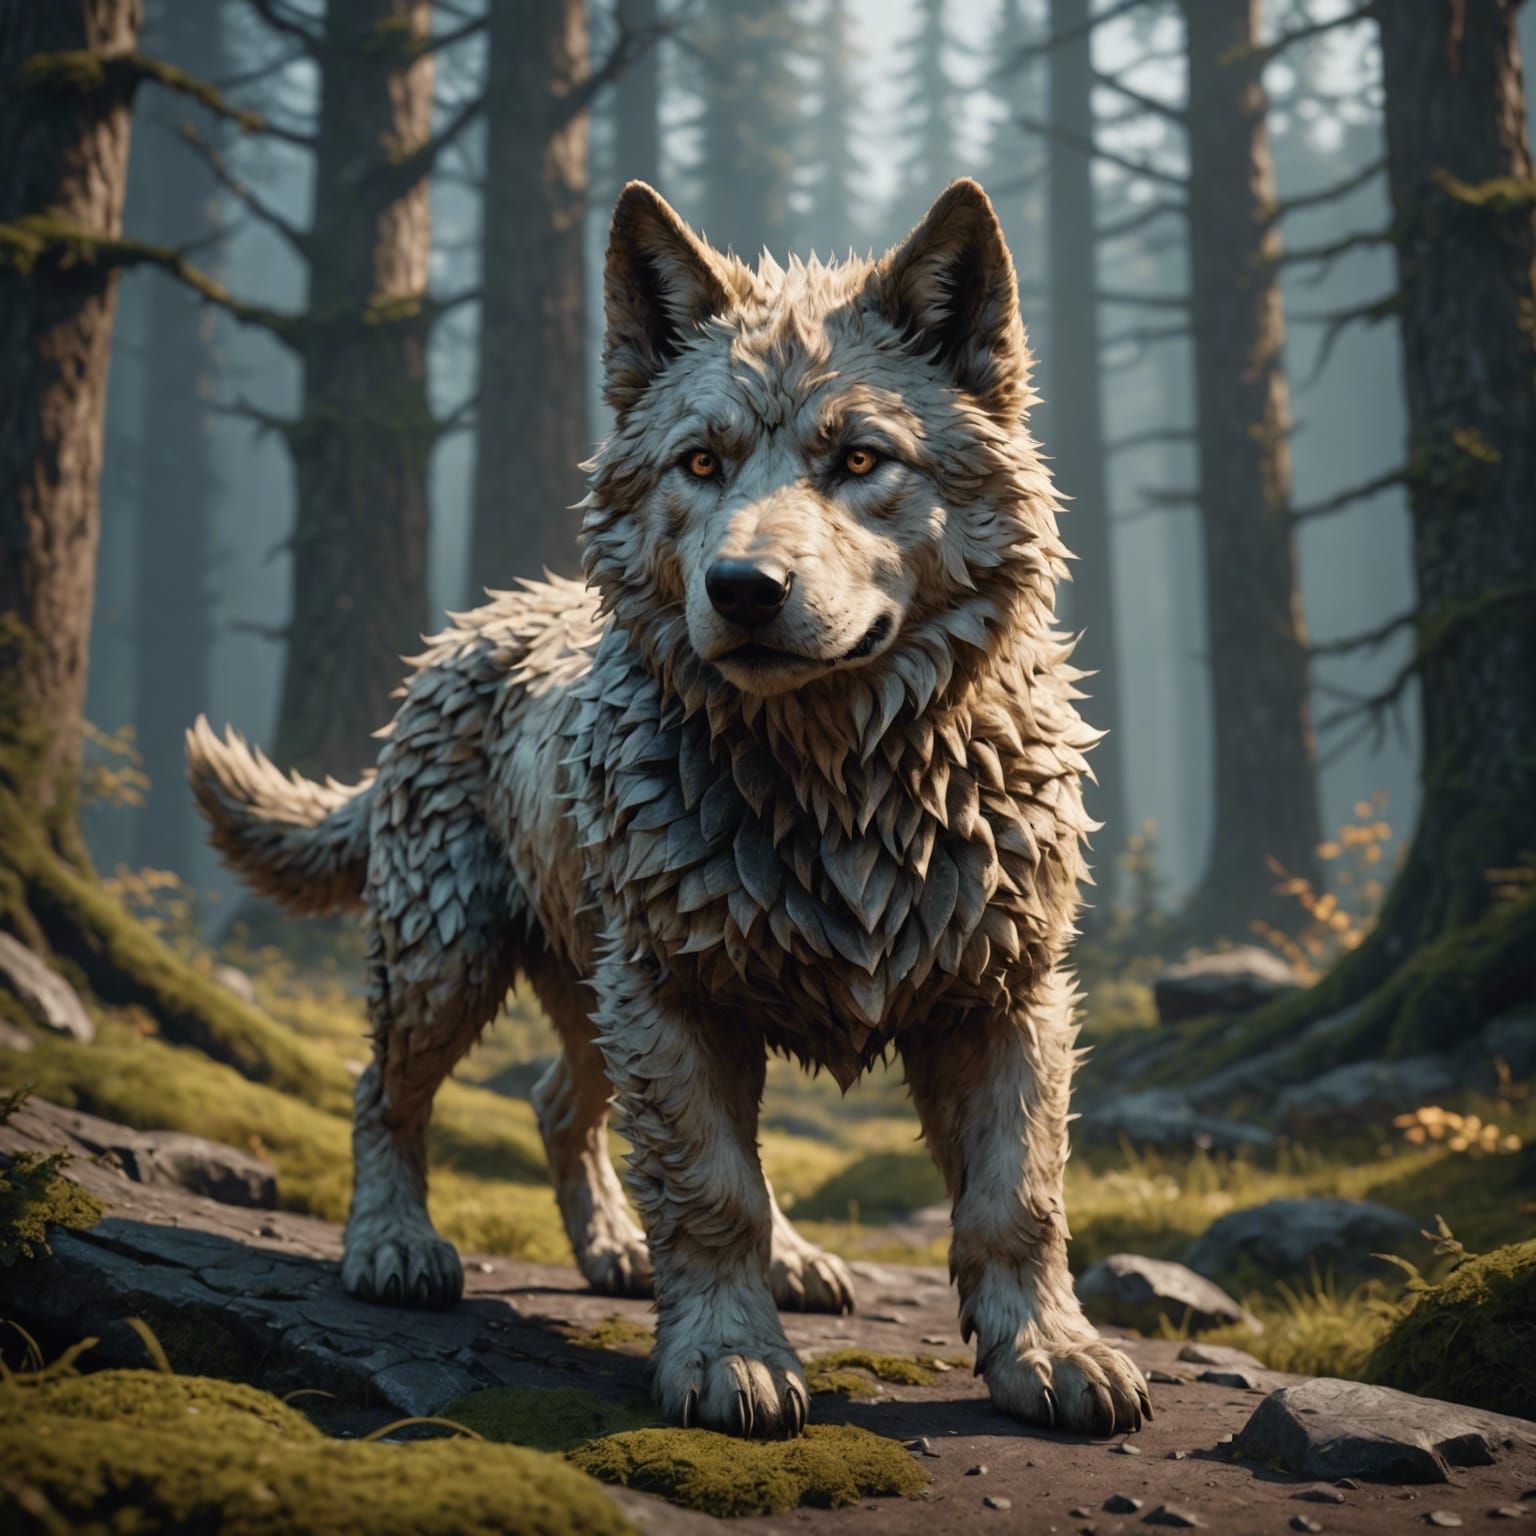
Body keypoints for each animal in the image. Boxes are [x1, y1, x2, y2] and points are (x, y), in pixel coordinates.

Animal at [187, 179, 1150, 1440]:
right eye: (701, 462)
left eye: (859, 458)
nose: (742, 590)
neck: (844, 784)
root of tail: (466, 633)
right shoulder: (672, 1001)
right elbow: (712, 1192)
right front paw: (731, 1356)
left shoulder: (1006, 996)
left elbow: (1017, 1199)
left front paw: (1049, 1351)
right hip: (457, 965)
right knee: (384, 1092)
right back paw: (394, 1245)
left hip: (594, 989)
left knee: (558, 1103)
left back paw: (642, 1249)